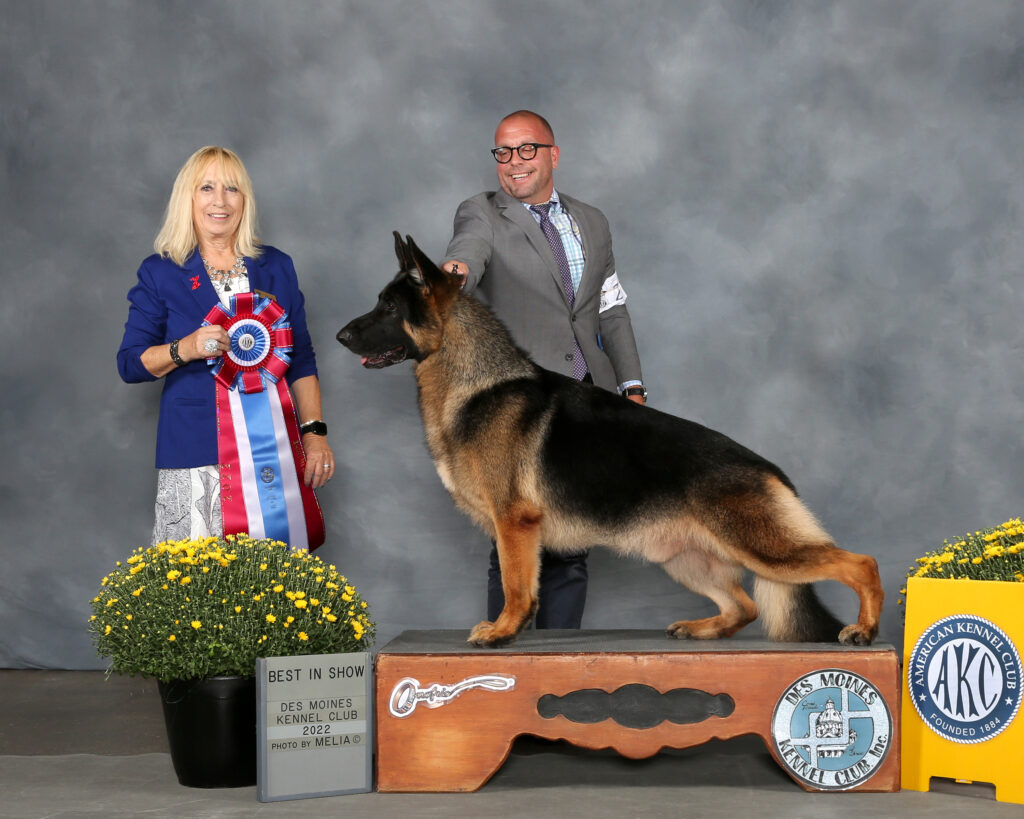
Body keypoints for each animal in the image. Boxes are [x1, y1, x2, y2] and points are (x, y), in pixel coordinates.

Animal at [337, 233, 883, 648]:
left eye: (388, 306)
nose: (340, 336)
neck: (475, 380)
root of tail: (771, 470)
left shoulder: (515, 523)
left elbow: (516, 587)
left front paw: (502, 632)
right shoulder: (512, 529)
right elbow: (520, 585)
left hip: (764, 549)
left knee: (861, 563)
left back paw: (864, 629)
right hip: (685, 561)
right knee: (744, 606)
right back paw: (703, 628)